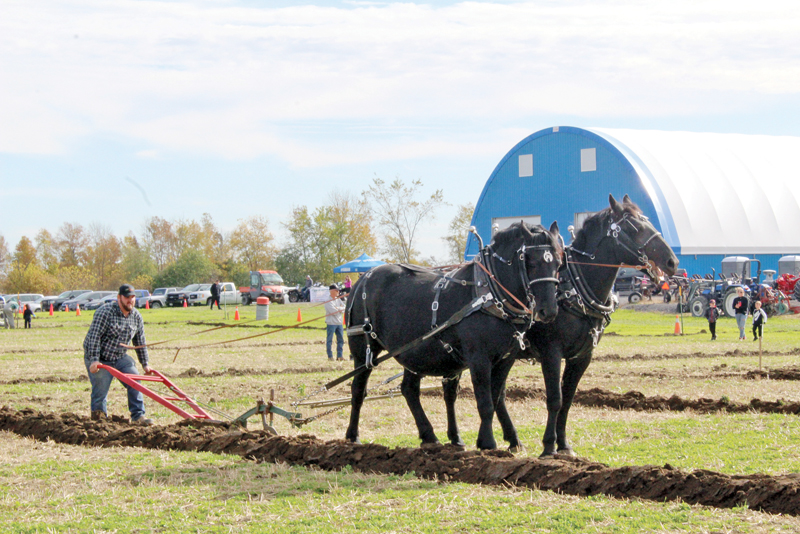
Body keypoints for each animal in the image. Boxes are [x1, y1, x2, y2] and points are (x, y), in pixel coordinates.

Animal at [344, 222, 564, 452]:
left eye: (559, 263)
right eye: (531, 262)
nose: (548, 310)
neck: (488, 294)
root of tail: (364, 277)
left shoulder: (506, 359)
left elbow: (495, 399)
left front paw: (485, 439)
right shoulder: (479, 358)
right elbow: (485, 403)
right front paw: (487, 443)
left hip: (413, 352)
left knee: (410, 390)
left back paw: (431, 436)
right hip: (363, 351)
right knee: (358, 390)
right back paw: (353, 436)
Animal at [440, 196, 680, 456]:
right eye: (633, 227)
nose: (672, 261)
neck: (573, 287)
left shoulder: (581, 357)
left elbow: (568, 399)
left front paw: (564, 445)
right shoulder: (551, 352)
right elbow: (555, 399)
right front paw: (548, 446)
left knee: (496, 395)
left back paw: (512, 439)